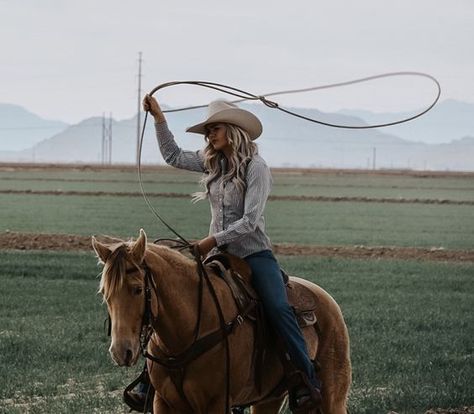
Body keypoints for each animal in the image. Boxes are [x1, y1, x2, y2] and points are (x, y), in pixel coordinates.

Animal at [92, 230, 352, 414]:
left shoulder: (217, 403)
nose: (120, 351)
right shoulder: (164, 404)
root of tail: (327, 299)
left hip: (333, 396)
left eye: (137, 289)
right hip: (269, 399)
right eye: (104, 293)